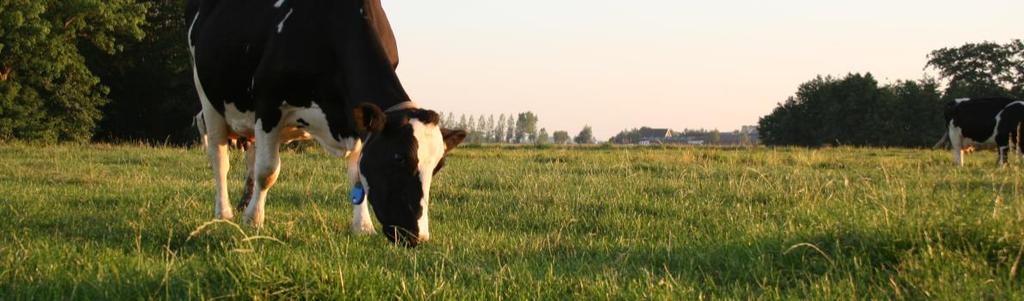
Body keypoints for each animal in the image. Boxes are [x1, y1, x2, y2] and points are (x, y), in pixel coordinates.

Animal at [186, 0, 466, 246]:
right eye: (398, 157)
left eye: (438, 166)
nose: (417, 237)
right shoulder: (268, 103)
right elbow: (267, 171)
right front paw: (254, 221)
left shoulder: (357, 121)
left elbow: (357, 178)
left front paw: (362, 227)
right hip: (208, 98)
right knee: (220, 159)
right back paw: (224, 213)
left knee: (250, 155)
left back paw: (245, 201)